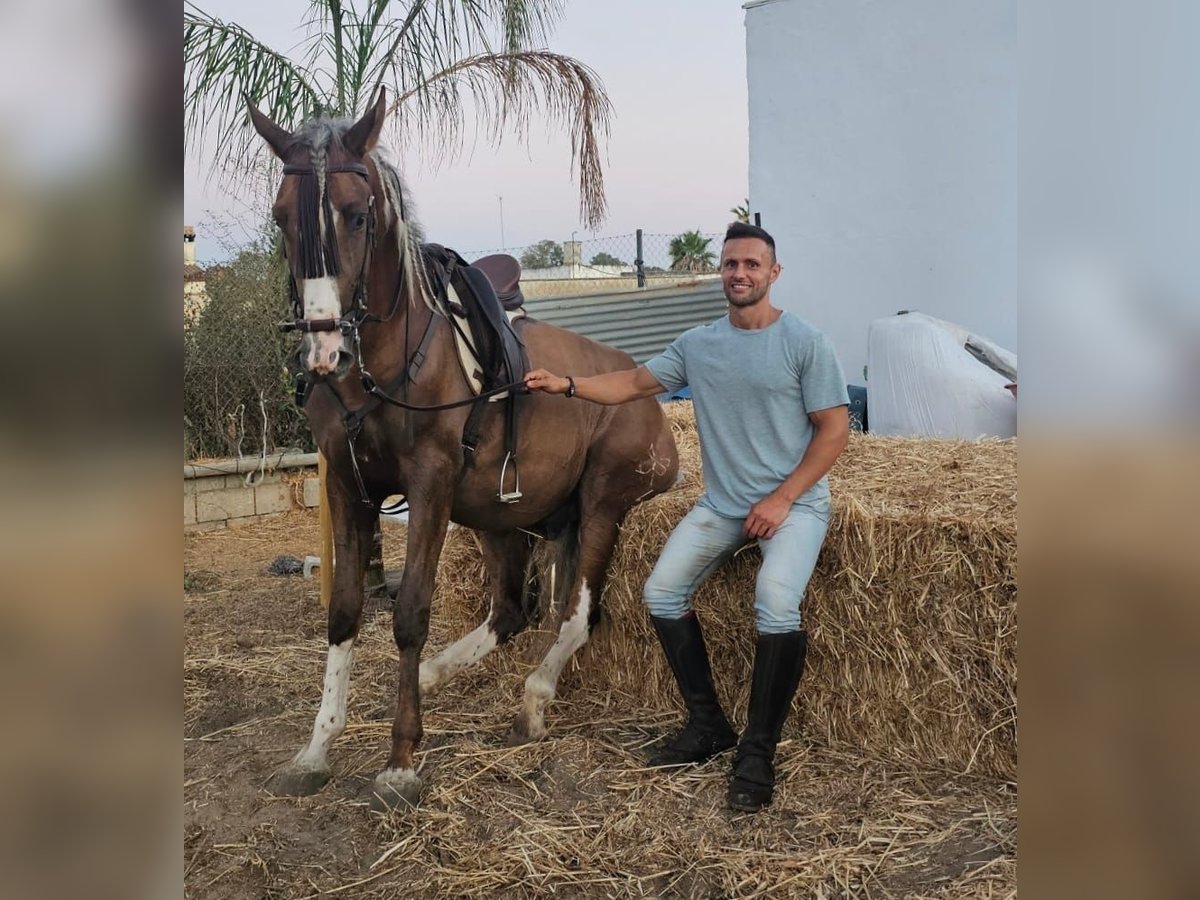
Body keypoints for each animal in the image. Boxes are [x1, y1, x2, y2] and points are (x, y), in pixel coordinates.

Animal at [248, 90, 681, 811]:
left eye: (357, 214)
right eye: (282, 217)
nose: (324, 349)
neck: (381, 367)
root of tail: (645, 385)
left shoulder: (428, 484)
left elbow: (409, 615)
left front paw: (400, 761)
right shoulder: (347, 486)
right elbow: (344, 613)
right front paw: (317, 749)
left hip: (601, 504)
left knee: (577, 614)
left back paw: (532, 701)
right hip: (498, 518)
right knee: (511, 610)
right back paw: (441, 674)